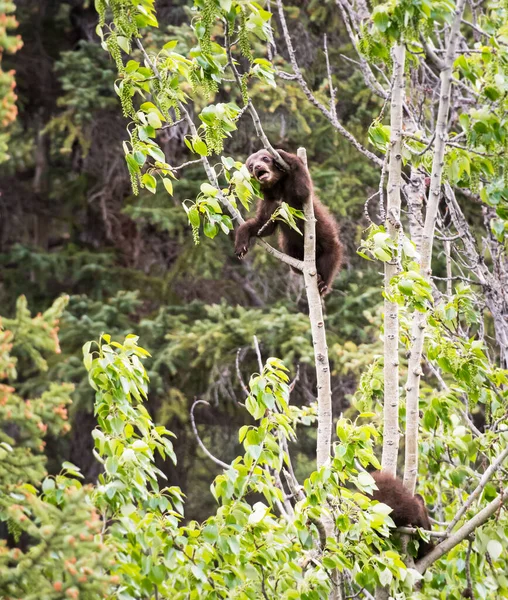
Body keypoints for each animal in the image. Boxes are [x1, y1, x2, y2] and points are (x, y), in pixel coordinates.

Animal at [236, 149, 344, 296]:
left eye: (265, 158)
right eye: (250, 165)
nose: (257, 167)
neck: (277, 190)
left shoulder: (292, 196)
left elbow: (303, 190)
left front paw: (284, 155)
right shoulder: (269, 203)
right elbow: (263, 225)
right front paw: (240, 246)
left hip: (329, 244)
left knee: (330, 259)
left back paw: (322, 283)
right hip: (289, 244)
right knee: (294, 264)